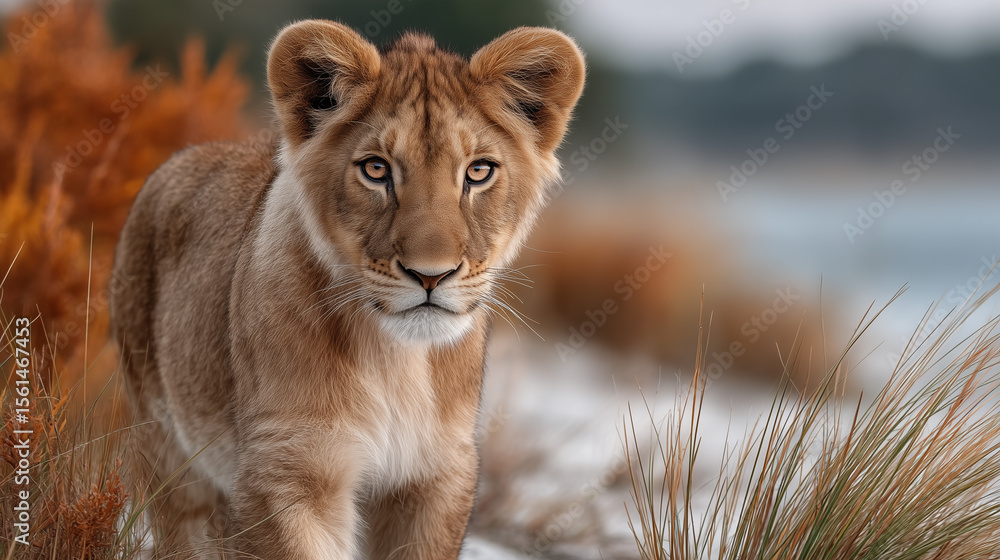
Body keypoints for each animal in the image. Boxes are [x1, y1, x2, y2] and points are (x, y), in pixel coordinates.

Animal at [109, 19, 585, 559]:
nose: (431, 275)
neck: (396, 361)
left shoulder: (436, 475)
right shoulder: (286, 470)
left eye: (478, 171)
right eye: (376, 169)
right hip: (168, 455)